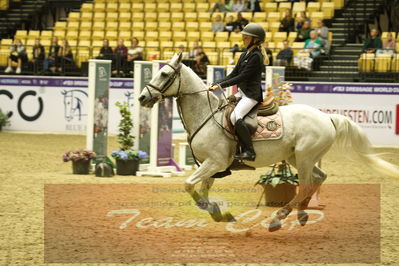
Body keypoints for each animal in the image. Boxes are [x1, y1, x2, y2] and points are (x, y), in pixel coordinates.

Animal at [139, 53, 399, 231]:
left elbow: (188, 185)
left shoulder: (214, 163)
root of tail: (327, 117)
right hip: (297, 157)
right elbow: (201, 191)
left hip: (304, 157)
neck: (206, 114)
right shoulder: (210, 166)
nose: (143, 97)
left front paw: (216, 212)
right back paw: (300, 214)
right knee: (318, 178)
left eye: (164, 74)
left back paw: (280, 218)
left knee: (305, 184)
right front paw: (219, 214)